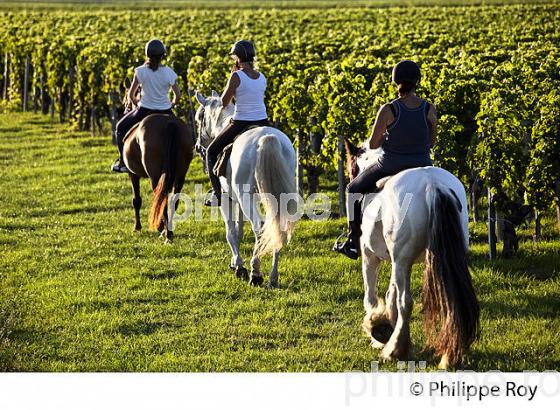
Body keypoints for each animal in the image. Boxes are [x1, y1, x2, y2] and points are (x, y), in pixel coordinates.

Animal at [121, 105, 194, 243]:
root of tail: (169, 123)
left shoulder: (132, 174)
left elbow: (136, 200)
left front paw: (137, 227)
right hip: (180, 175)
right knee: (173, 200)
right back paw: (168, 231)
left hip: (155, 177)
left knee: (161, 200)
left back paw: (165, 233)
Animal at [195, 91, 298, 286]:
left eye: (199, 118)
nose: (198, 146)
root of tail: (266, 138)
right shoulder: (239, 201)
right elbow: (239, 230)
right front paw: (236, 263)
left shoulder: (227, 199)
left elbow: (231, 232)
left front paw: (239, 266)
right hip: (275, 197)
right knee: (276, 227)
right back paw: (273, 277)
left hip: (246, 198)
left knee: (259, 227)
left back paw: (255, 273)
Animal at [344, 140, 480, 368]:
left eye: (352, 167)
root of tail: (433, 185)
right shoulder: (397, 259)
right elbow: (390, 293)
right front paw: (386, 324)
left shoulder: (370, 256)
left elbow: (371, 297)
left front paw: (376, 328)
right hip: (434, 258)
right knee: (451, 300)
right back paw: (449, 355)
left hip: (401, 259)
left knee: (405, 302)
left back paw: (395, 349)